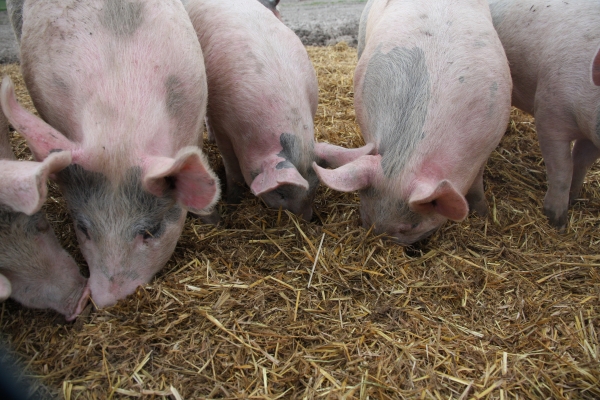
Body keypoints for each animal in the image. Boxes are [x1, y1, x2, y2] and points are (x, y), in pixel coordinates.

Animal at [185, 0, 372, 220]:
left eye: (315, 187)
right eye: (281, 193)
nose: (307, 219)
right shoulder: (221, 123)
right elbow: (232, 169)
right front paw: (232, 201)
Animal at [312, 0, 512, 244]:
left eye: (411, 226)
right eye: (365, 216)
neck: (405, 159)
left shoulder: (489, 141)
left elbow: (477, 185)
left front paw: (483, 214)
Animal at [488, 0, 600, 231]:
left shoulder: (592, 134)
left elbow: (582, 162)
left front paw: (574, 199)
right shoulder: (549, 114)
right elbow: (562, 168)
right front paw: (557, 221)